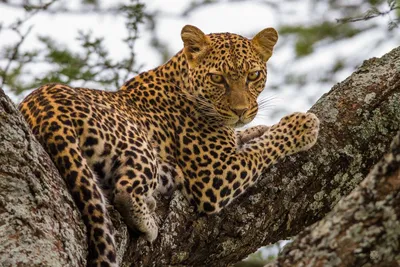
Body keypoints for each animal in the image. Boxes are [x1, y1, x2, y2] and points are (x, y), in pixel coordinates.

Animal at [18, 25, 318, 267]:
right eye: (217, 78)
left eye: (253, 75)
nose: (241, 111)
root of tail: (45, 109)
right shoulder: (216, 174)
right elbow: (263, 148)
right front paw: (301, 125)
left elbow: (247, 138)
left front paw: (257, 128)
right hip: (138, 143)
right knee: (125, 191)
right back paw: (148, 221)